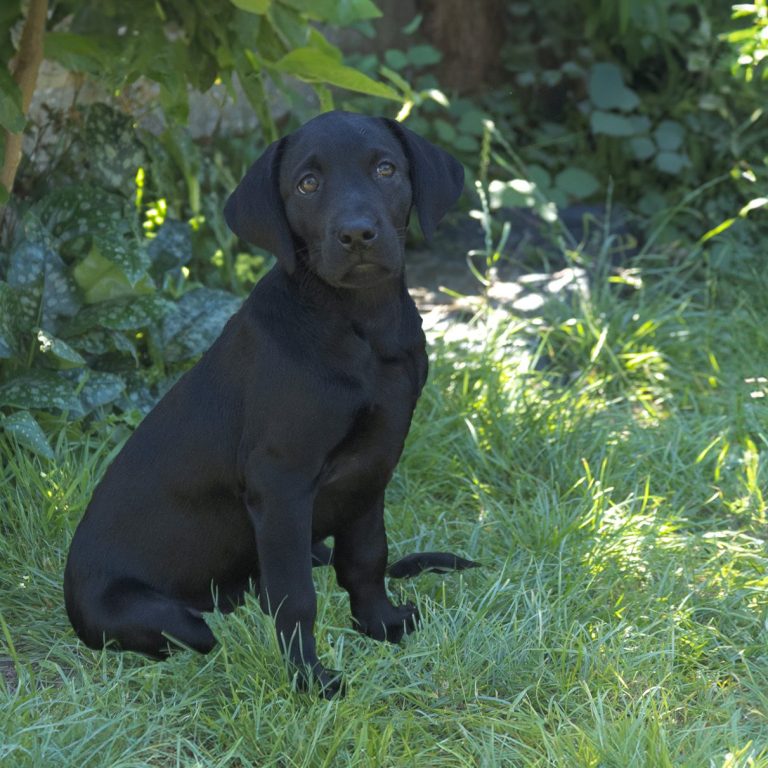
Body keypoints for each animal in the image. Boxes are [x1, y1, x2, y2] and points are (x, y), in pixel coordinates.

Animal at [64, 109, 474, 696]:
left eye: (386, 169)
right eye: (307, 184)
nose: (357, 234)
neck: (361, 326)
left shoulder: (371, 469)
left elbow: (366, 558)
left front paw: (380, 625)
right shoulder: (281, 482)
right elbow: (296, 596)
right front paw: (310, 679)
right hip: (158, 615)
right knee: (203, 630)